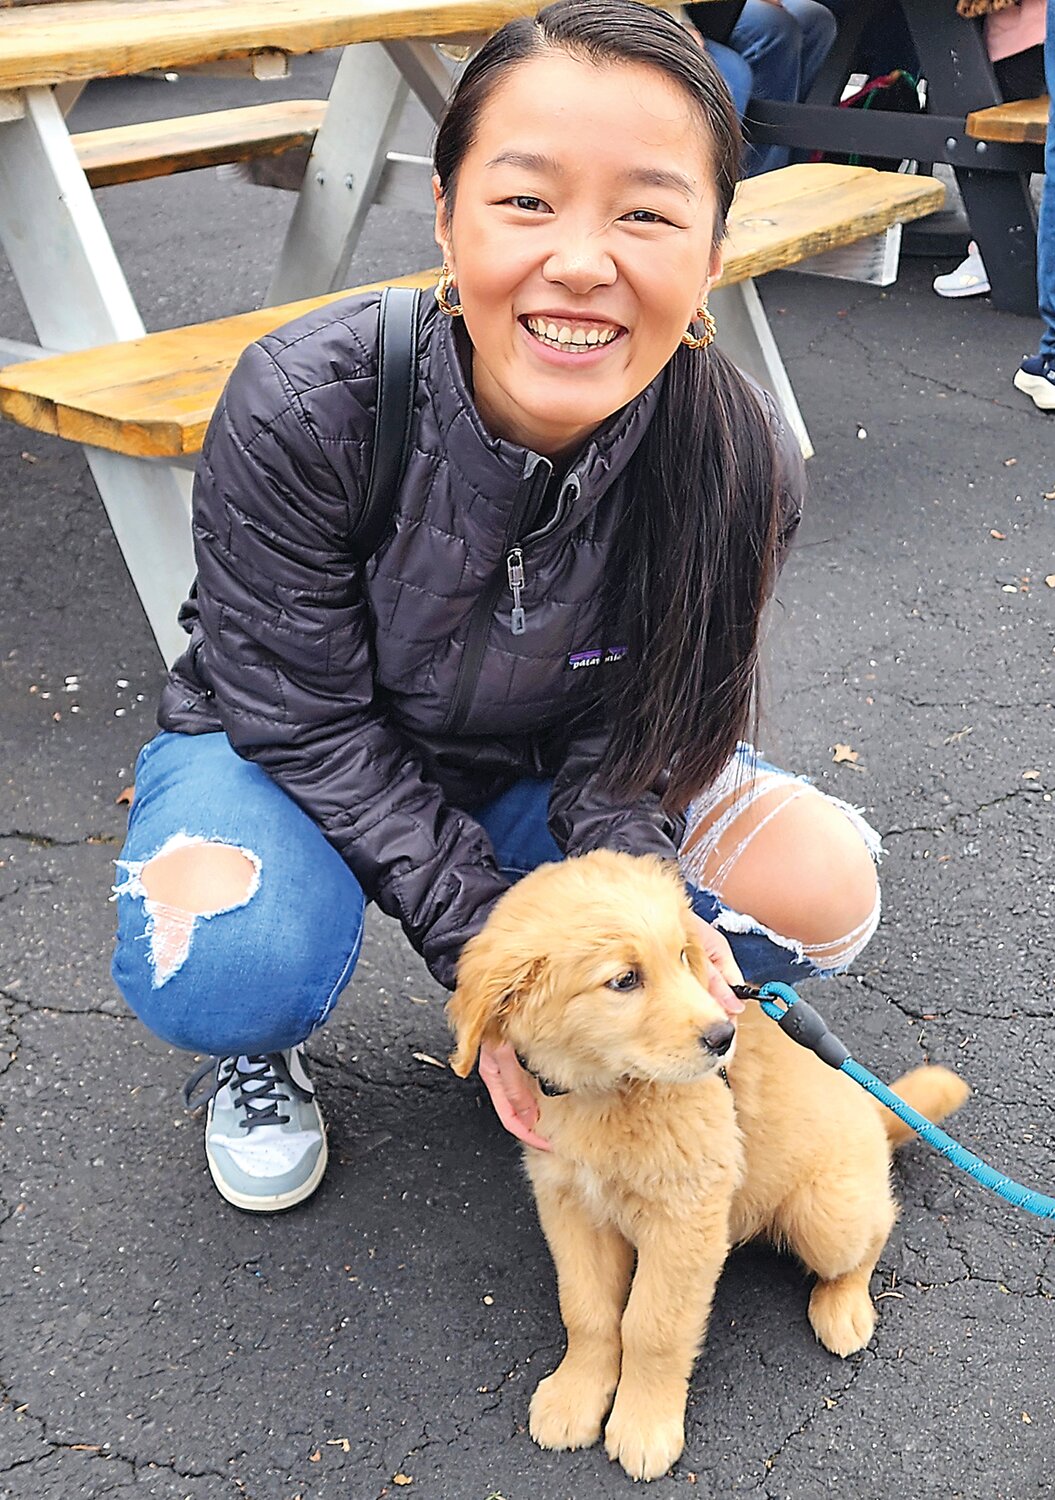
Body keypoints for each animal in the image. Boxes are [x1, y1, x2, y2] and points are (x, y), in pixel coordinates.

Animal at [450, 852, 972, 1482]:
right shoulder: (570, 1207)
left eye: (682, 956)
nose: (725, 1036)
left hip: (828, 1214)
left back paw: (843, 1308)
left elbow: (652, 1327)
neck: (607, 1095)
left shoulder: (687, 1221)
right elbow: (588, 1311)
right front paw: (576, 1395)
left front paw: (644, 1423)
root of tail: (872, 1109)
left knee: (873, 1233)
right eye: (624, 980)